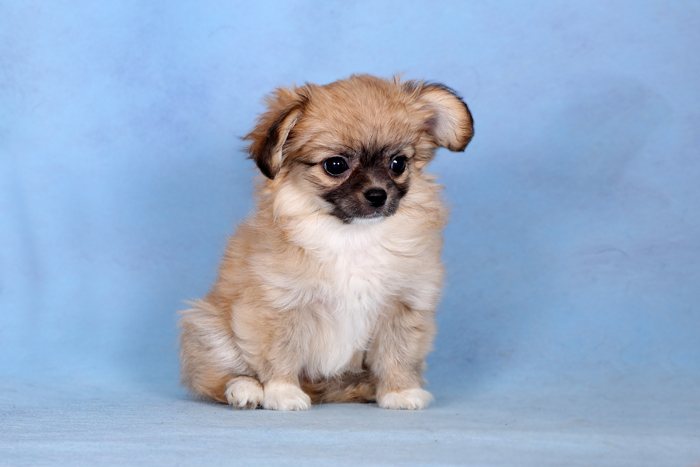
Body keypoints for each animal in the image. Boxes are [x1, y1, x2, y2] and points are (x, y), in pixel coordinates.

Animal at [179, 74, 473, 410]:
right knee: (217, 376)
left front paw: (400, 391)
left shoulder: (404, 305)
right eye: (335, 165)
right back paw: (246, 389)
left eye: (398, 163)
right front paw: (282, 392)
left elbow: (398, 354)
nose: (377, 195)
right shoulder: (281, 304)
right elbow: (280, 353)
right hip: (208, 327)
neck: (353, 236)